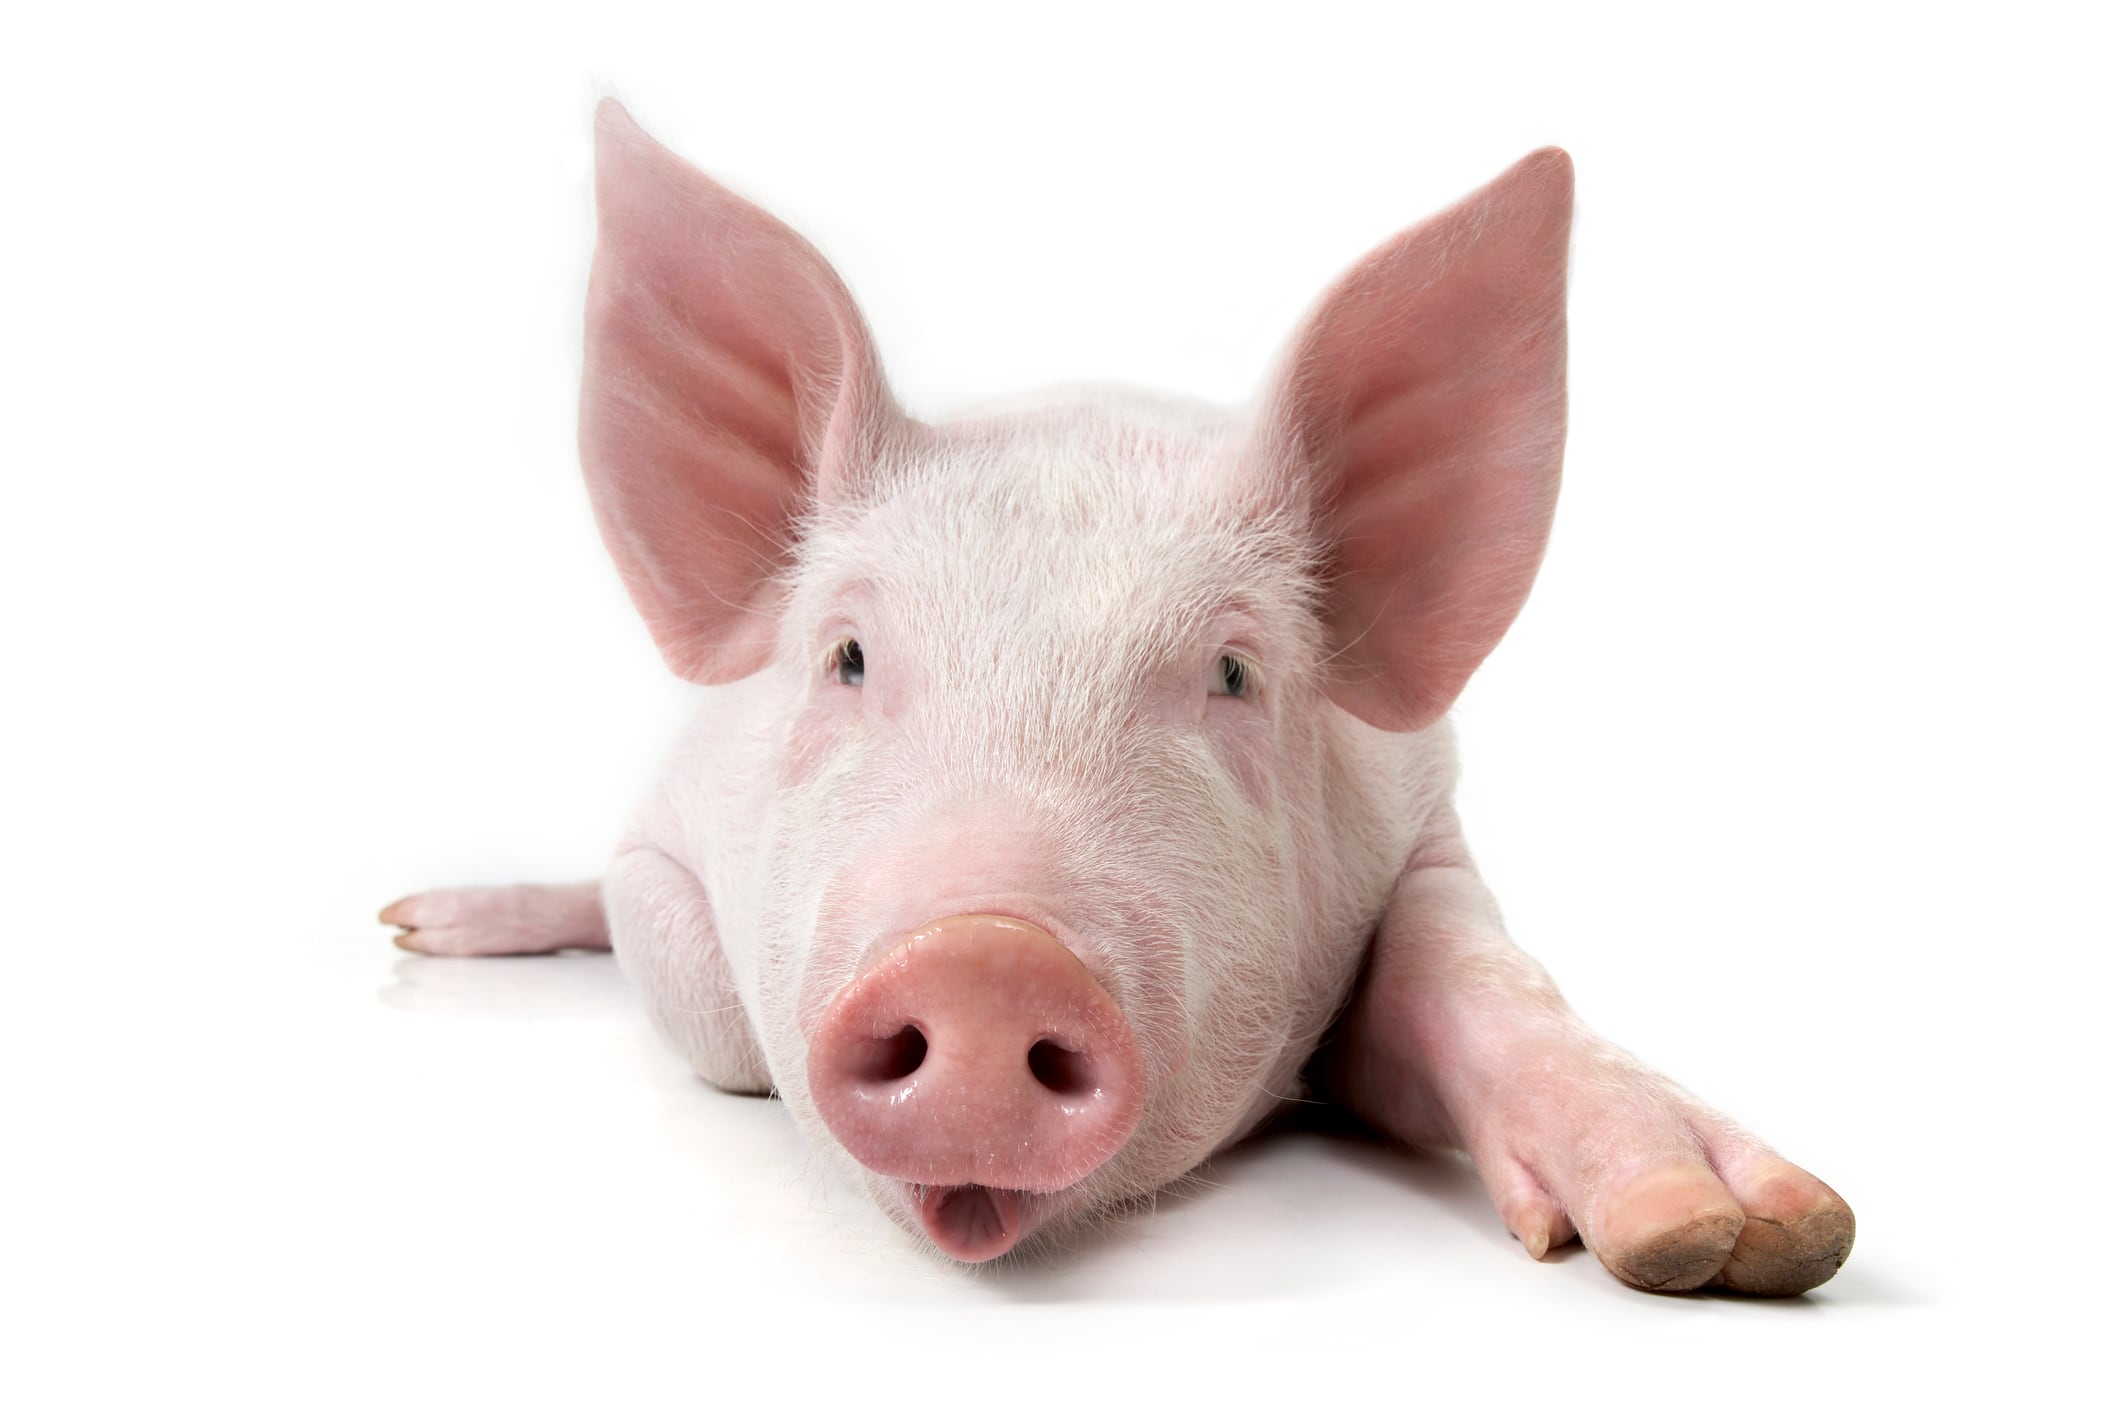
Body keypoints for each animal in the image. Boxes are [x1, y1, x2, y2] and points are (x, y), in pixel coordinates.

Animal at [383, 100, 1854, 1294]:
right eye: (847, 655)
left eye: (1232, 673)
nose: (984, 953)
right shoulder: (661, 840)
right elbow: (703, 997)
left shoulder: (1423, 816)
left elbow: (1473, 963)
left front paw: (1734, 1235)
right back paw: (418, 922)